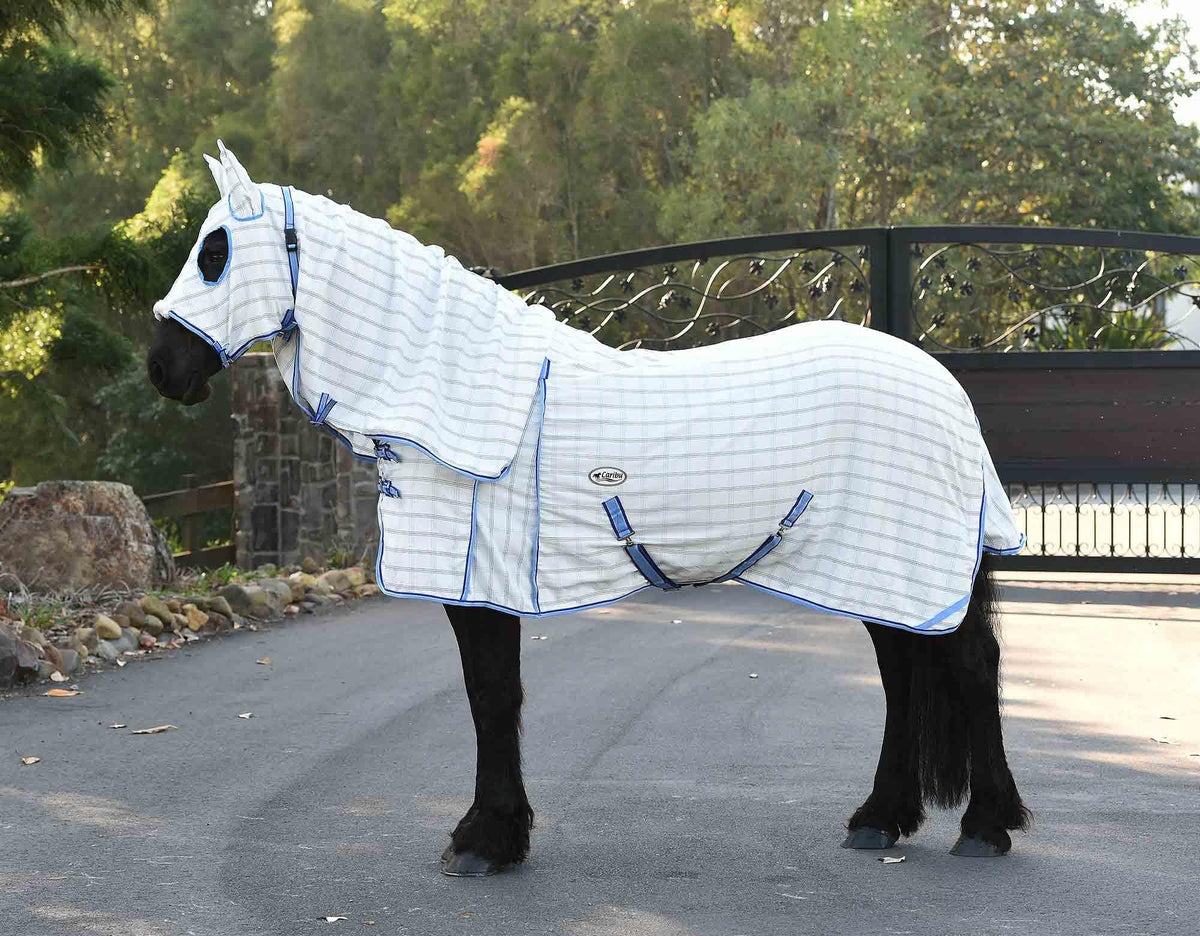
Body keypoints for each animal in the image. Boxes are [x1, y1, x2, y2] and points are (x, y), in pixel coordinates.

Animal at [146, 142, 1030, 876]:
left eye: (216, 253)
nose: (162, 368)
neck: (457, 388)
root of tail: (944, 387)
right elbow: (492, 697)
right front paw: (497, 834)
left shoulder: (479, 582)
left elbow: (490, 698)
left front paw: (486, 840)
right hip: (871, 569)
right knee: (903, 676)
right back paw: (881, 818)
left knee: (969, 667)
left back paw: (986, 827)